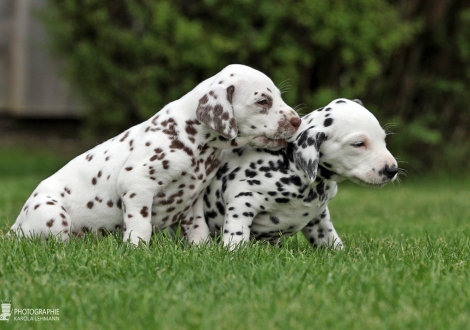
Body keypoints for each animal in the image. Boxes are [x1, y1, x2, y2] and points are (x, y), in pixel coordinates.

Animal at [11, 65, 302, 245]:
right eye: (263, 101)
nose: (297, 121)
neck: (194, 140)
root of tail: (14, 229)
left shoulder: (193, 197)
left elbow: (198, 227)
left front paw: (202, 249)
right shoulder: (137, 184)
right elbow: (140, 225)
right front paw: (137, 248)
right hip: (52, 214)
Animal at [204, 99, 398, 249]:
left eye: (383, 138)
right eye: (358, 144)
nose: (393, 169)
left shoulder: (319, 219)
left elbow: (332, 241)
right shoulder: (242, 202)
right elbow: (236, 237)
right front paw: (235, 253)